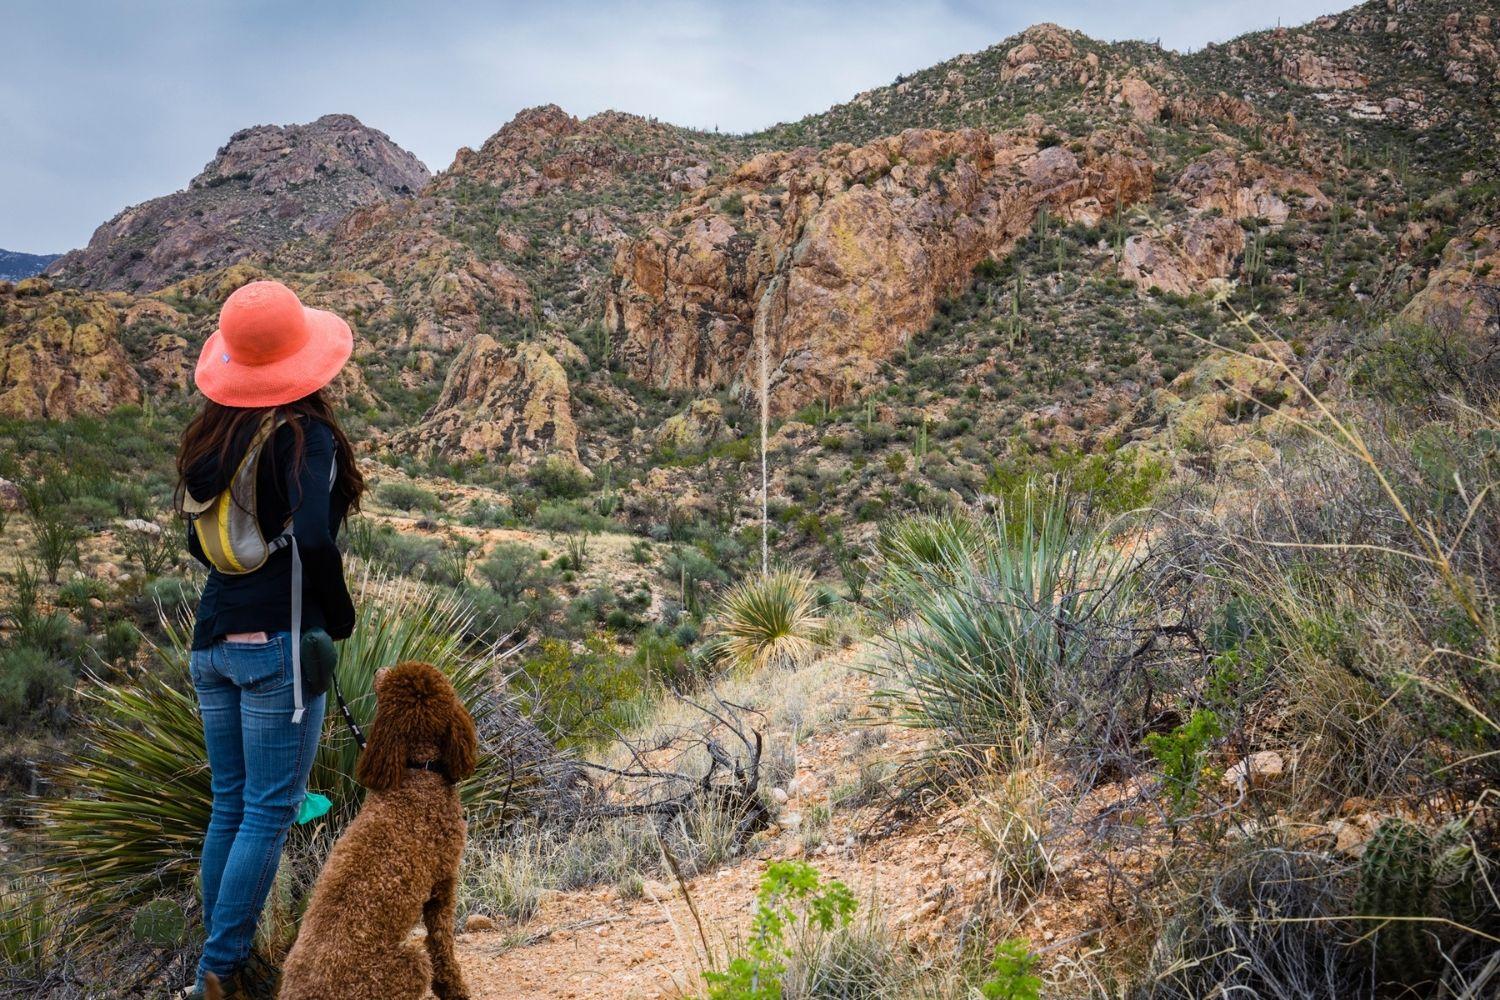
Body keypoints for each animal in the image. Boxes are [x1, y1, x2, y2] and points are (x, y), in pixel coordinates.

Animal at [207, 659, 474, 995]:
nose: (380, 669)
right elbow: (442, 946)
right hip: (409, 964)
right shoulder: (444, 883)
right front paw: (455, 989)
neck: (417, 774)